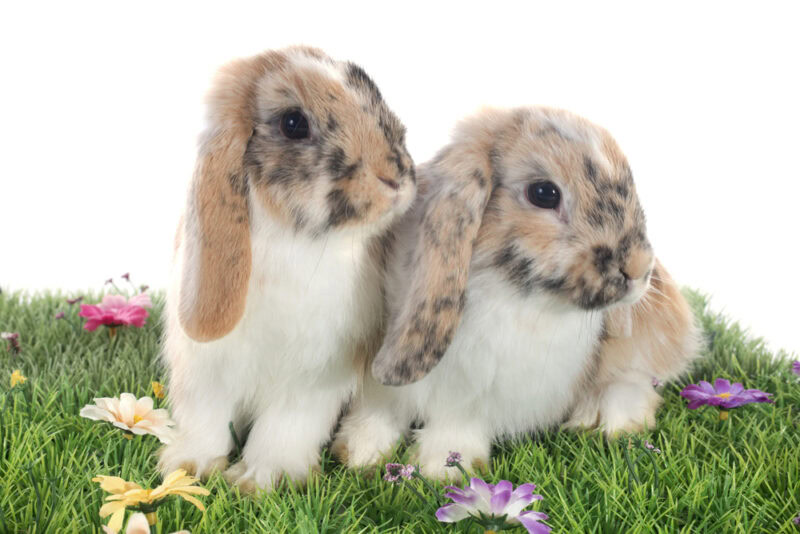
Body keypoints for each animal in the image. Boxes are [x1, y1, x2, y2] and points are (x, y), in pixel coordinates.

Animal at [159, 46, 416, 491]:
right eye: (293, 123)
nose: (395, 176)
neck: (292, 239)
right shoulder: (205, 370)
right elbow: (205, 421)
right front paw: (187, 467)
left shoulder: (312, 377)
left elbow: (285, 428)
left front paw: (259, 480)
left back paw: (359, 451)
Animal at [332, 106, 700, 480]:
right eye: (544, 193)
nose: (639, 269)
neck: (501, 288)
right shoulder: (383, 383)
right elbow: (378, 411)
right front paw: (359, 453)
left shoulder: (478, 394)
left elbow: (455, 425)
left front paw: (439, 469)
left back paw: (605, 422)